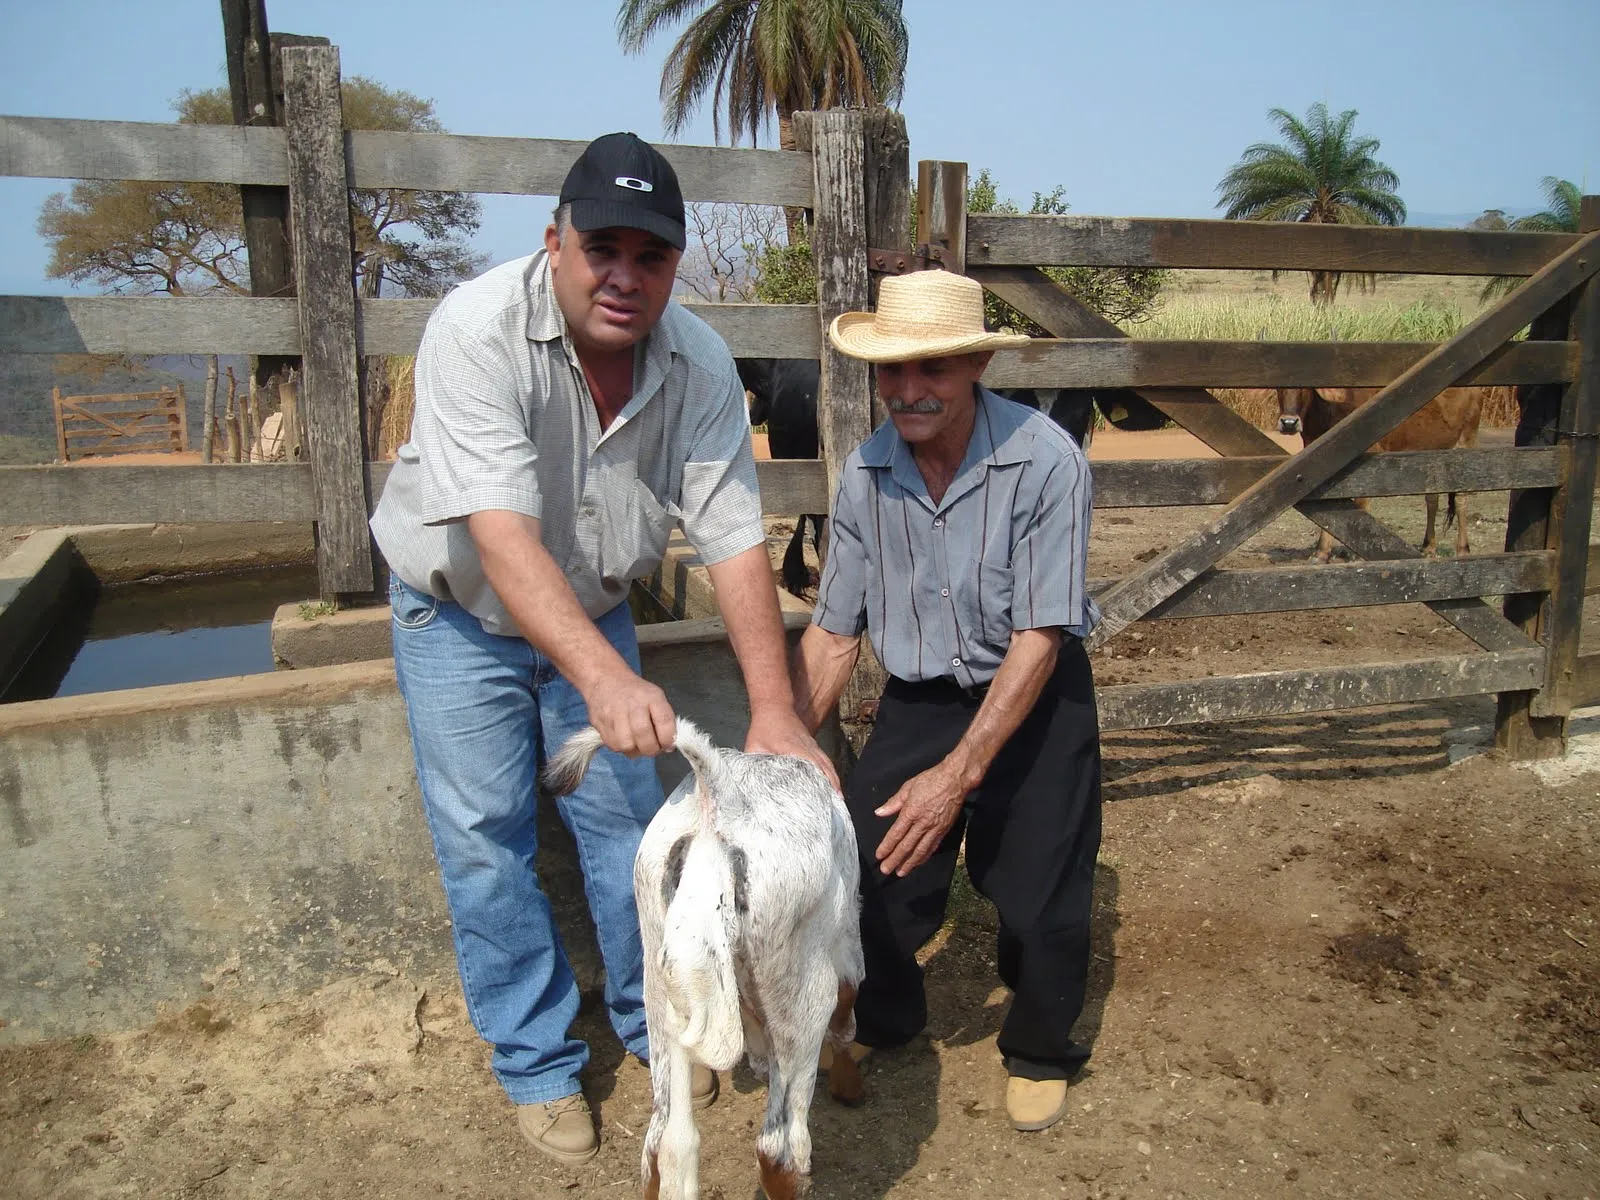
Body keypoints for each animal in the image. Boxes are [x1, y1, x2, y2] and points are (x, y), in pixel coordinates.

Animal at [540, 720, 870, 1196]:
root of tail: (720, 795)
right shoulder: (847, 952)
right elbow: (847, 1019)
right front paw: (849, 1086)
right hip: (802, 990)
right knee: (779, 1149)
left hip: (660, 990)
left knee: (666, 1143)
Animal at [1273, 390, 1484, 569]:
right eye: (1279, 387)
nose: (1289, 423)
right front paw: (1321, 553)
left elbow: (1360, 503)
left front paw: (1353, 553)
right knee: (1432, 498)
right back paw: (1428, 547)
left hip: (1466, 441)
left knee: (1461, 498)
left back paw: (1463, 549)